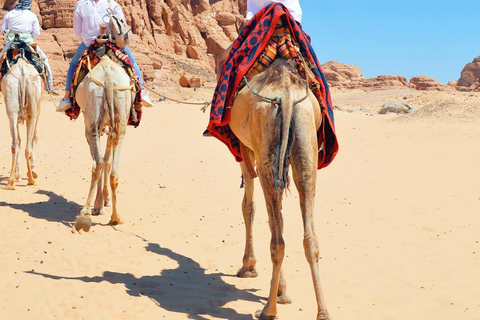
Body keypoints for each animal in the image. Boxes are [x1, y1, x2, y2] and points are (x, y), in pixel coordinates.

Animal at [74, 53, 136, 231]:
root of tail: (108, 78)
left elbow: (102, 159)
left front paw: (99, 205)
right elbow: (108, 159)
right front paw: (104, 202)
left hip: (92, 118)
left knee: (98, 163)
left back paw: (85, 212)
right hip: (121, 110)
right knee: (114, 170)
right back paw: (116, 217)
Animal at [229, 58, 330, 320]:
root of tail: (285, 94)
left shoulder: (243, 148)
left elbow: (248, 206)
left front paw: (248, 266)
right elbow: (279, 219)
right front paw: (283, 290)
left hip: (265, 146)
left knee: (277, 240)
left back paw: (268, 310)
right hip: (305, 137)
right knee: (309, 237)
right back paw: (323, 312)